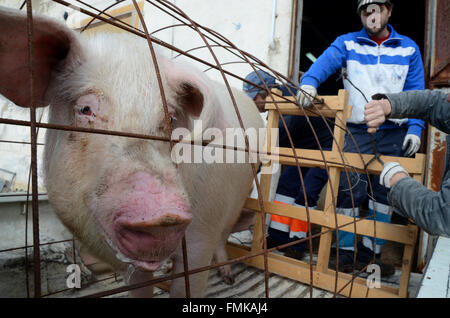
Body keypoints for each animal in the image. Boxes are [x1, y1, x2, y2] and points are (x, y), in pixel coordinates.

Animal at [0, 6, 266, 296]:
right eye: (85, 109)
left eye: (171, 118)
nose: (164, 216)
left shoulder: (202, 233)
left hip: (240, 195)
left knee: (224, 234)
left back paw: (228, 278)